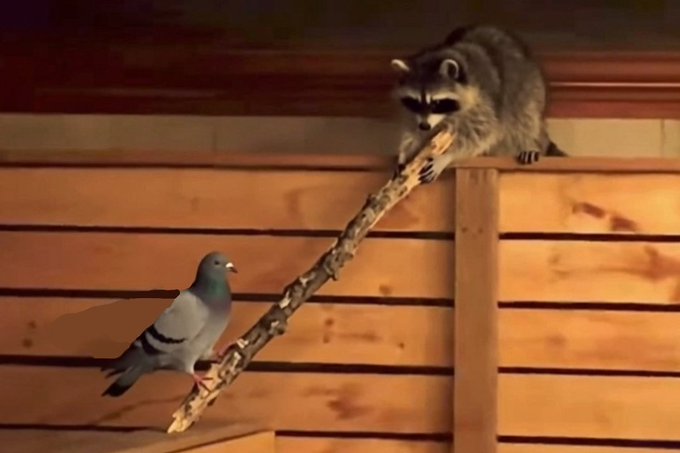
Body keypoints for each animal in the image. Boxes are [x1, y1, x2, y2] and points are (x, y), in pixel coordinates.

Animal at [390, 24, 568, 183]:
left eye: (437, 102)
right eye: (415, 102)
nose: (425, 126)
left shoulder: (484, 101)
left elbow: (483, 132)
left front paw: (448, 155)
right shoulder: (413, 113)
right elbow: (412, 130)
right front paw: (404, 152)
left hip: (529, 88)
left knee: (525, 115)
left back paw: (529, 143)